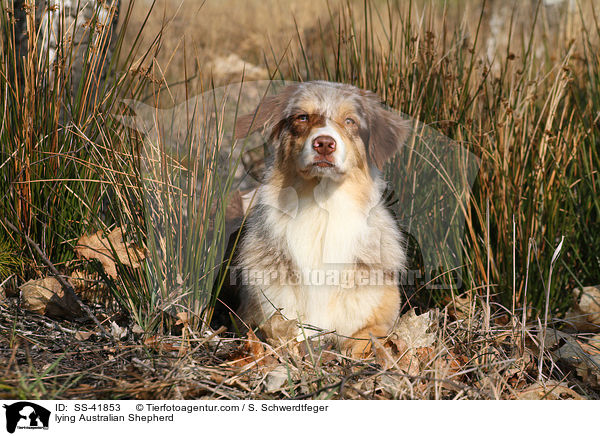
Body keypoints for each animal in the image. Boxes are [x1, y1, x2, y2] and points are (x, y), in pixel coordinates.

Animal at [221, 82, 412, 358]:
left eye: (350, 121)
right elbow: (280, 334)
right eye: (302, 117)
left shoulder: (380, 315)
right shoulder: (258, 314)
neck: (321, 211)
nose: (324, 143)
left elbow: (366, 337)